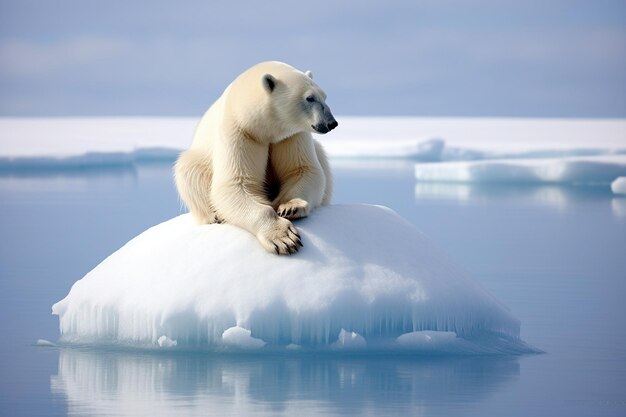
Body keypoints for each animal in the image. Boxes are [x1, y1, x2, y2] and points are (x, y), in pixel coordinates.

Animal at [171, 60, 336, 254]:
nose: (332, 123)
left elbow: (303, 169)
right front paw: (283, 237)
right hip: (198, 160)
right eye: (310, 98)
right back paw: (215, 216)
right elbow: (236, 184)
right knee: (189, 172)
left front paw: (290, 207)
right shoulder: (239, 131)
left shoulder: (290, 135)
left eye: (324, 96)